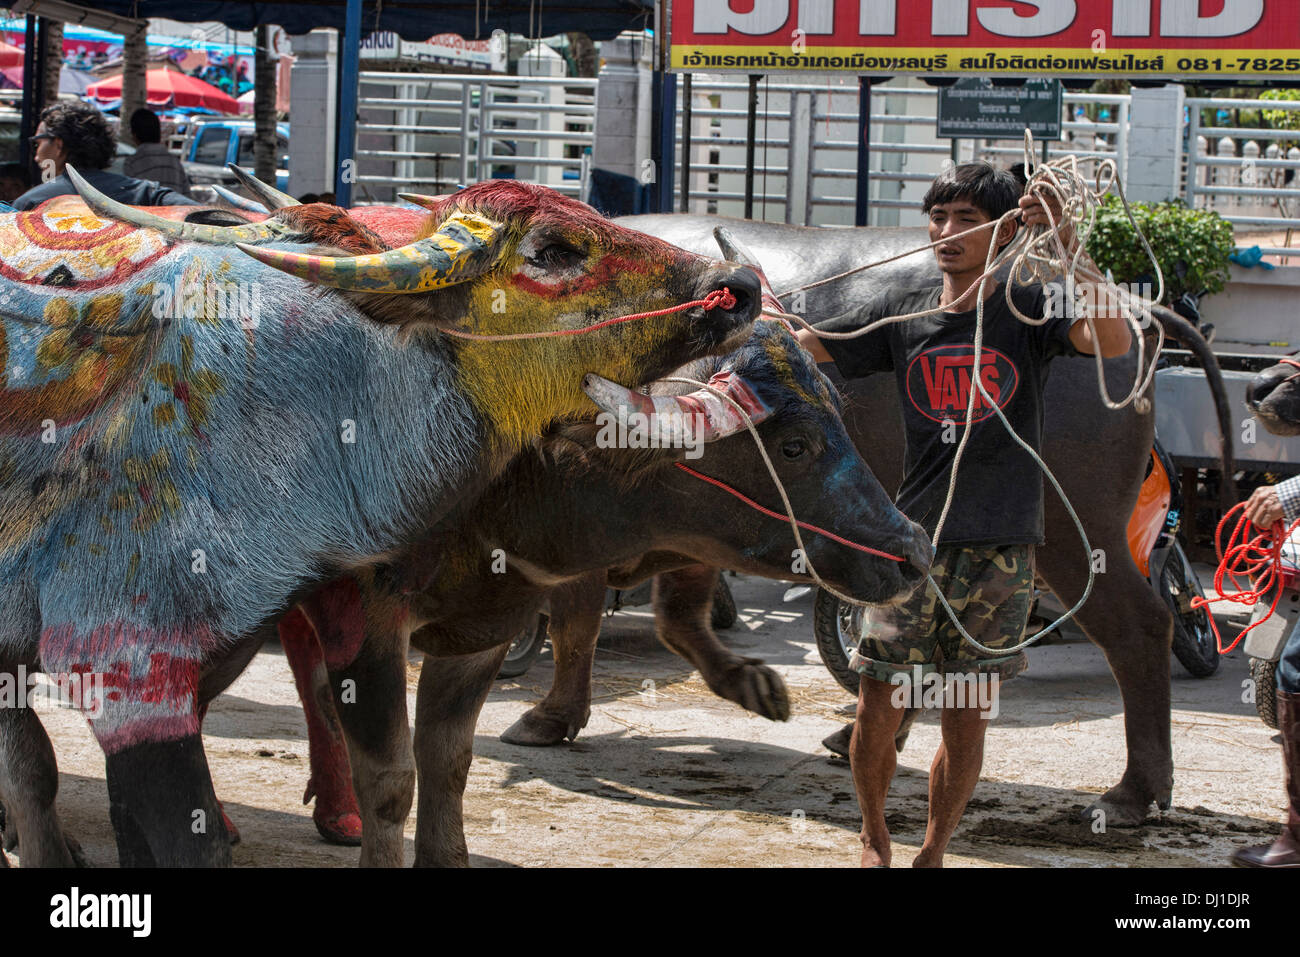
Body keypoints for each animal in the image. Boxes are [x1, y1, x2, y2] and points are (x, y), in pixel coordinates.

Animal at [0, 179, 759, 868]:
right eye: (554, 250)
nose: (737, 284)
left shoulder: (478, 625)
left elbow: (447, 759)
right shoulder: (168, 654)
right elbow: (379, 776)